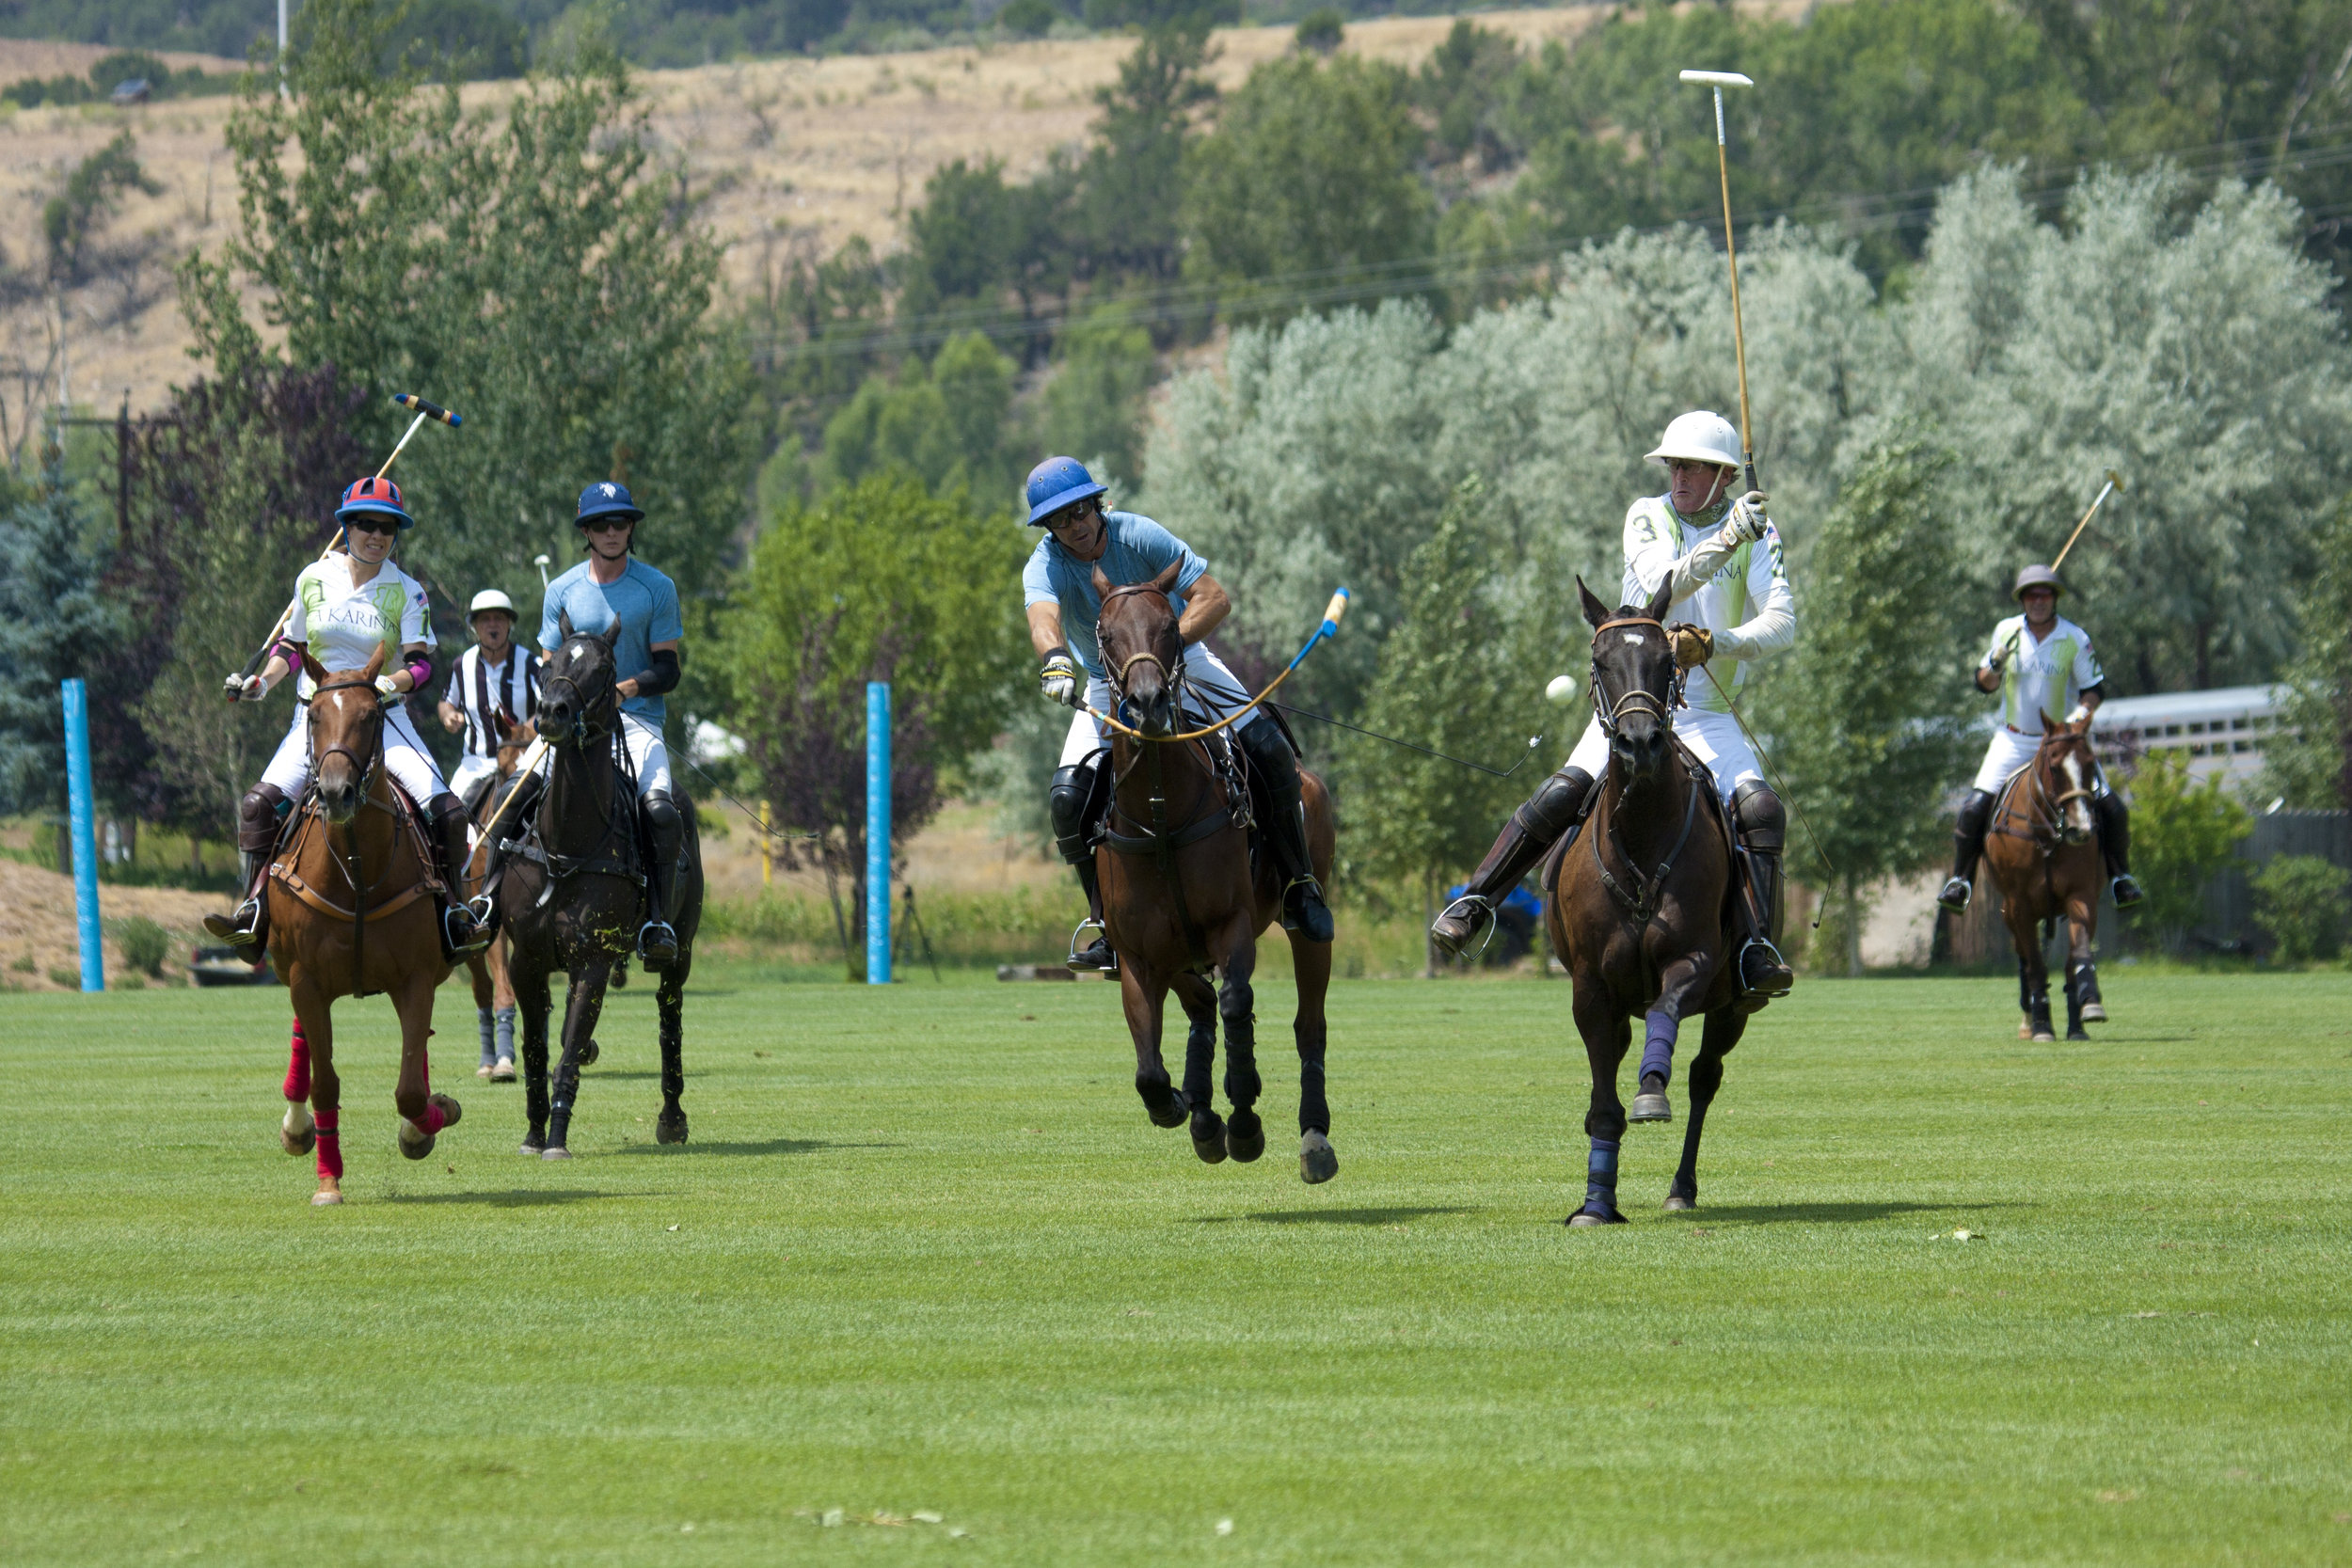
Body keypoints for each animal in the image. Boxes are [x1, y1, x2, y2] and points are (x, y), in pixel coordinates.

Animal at [266, 643, 458, 1212]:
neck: (354, 867)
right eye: (313, 715)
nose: (336, 793)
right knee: (304, 1043)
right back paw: (296, 1126)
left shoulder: (415, 978)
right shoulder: (306, 979)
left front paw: (429, 1123)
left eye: (373, 715)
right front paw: (328, 1181)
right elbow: (324, 1084)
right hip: (291, 970)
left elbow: (410, 1090)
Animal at [499, 620, 701, 1161]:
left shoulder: (593, 960)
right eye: (548, 663)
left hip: (681, 949)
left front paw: (556, 1140)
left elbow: (567, 1054)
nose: (552, 713)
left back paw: (672, 1120)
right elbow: (536, 1048)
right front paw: (532, 1134)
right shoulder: (524, 959)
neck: (567, 844)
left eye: (606, 669)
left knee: (669, 1020)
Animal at [1087, 571, 1345, 1184]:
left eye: (1171, 627)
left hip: (1304, 922)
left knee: (1307, 1023)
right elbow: (1150, 1071)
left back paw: (1313, 1137)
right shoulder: (1141, 955)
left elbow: (1237, 1006)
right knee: (1201, 1009)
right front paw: (1185, 1106)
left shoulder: (1231, 926)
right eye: (1104, 634)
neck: (1160, 812)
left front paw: (1245, 1119)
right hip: (1181, 952)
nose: (1148, 703)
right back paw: (1203, 1115)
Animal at [1543, 582, 1750, 1231]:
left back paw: (1682, 1186)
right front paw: (1595, 1204)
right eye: (1601, 661)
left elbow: (1666, 1010)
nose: (1638, 743)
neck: (1640, 836)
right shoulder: (1590, 987)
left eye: (1666, 661)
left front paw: (1651, 1091)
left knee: (1706, 1077)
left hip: (1735, 1003)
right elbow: (1602, 1105)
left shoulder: (1697, 960)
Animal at [1976, 719, 2107, 1043]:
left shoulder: (2081, 895)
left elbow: (2078, 955)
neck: (2048, 836)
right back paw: (2029, 1019)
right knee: (2024, 958)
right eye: (2055, 767)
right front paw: (2042, 1026)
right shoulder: (2019, 905)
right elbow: (2035, 965)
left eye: (2091, 764)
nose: (2081, 829)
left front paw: (2086, 1012)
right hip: (2009, 912)